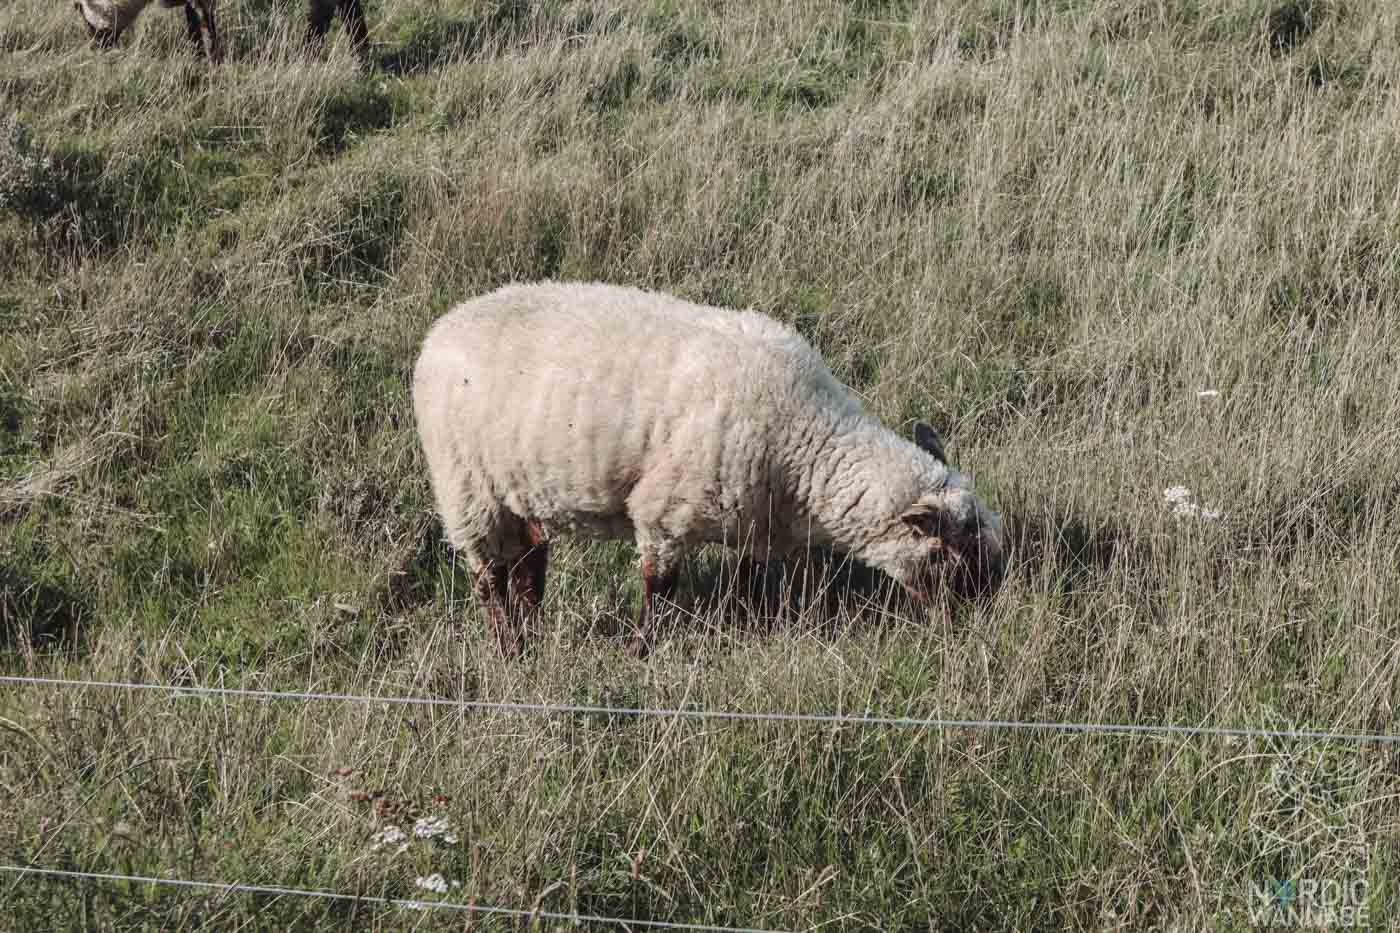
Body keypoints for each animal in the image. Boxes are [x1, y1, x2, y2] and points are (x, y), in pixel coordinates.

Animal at [411, 282, 1008, 652]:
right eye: (953, 556)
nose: (980, 622)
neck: (808, 443)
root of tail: (442, 328)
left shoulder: (755, 525)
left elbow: (752, 584)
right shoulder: (663, 513)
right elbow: (659, 589)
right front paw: (640, 652)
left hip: (520, 491)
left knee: (529, 563)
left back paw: (531, 636)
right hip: (467, 488)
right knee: (489, 577)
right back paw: (509, 649)